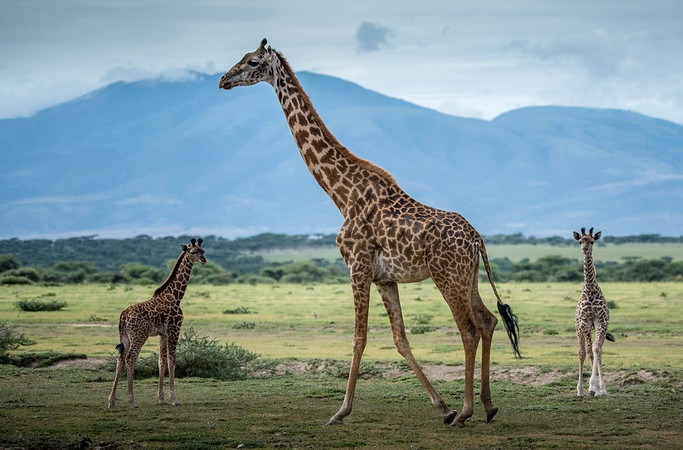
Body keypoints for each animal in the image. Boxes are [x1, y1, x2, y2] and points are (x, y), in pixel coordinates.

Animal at [107, 239, 206, 408]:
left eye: (203, 251)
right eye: (193, 252)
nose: (204, 260)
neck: (176, 296)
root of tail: (123, 316)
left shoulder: (163, 334)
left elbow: (162, 361)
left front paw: (161, 398)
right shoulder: (174, 329)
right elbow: (172, 361)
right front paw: (174, 399)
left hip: (125, 336)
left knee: (120, 359)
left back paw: (111, 400)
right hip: (139, 336)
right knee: (130, 359)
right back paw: (131, 401)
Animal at [219, 37, 520, 426]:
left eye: (253, 62)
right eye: (241, 58)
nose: (224, 80)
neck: (341, 194)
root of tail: (476, 238)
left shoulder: (357, 266)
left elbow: (359, 337)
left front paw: (340, 411)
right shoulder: (384, 278)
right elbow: (400, 338)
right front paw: (441, 405)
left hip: (446, 276)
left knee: (468, 329)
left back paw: (467, 411)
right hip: (468, 276)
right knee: (487, 321)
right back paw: (487, 406)